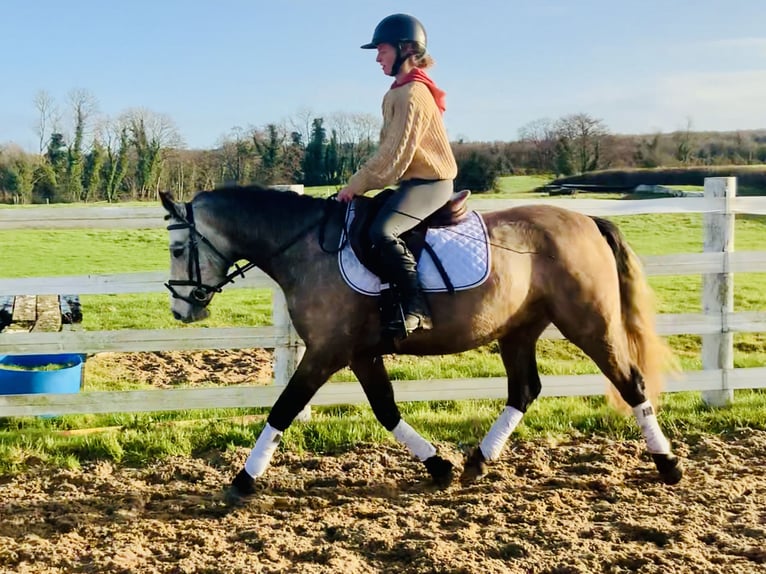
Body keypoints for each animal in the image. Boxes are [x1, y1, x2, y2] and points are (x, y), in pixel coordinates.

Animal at [158, 186, 684, 500]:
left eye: (179, 248)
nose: (183, 310)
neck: (306, 247)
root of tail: (588, 220)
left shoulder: (326, 352)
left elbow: (284, 409)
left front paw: (242, 481)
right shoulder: (361, 353)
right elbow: (386, 410)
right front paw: (438, 467)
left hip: (589, 323)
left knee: (631, 383)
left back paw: (668, 465)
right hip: (519, 330)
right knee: (524, 391)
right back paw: (476, 463)